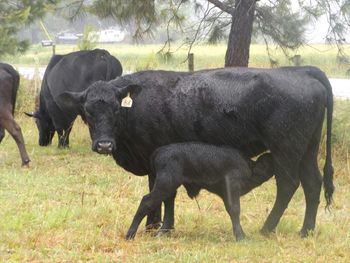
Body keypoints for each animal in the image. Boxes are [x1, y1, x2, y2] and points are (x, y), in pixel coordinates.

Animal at [126, 143, 274, 242]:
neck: (251, 169)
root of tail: (157, 152)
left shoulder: (226, 192)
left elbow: (231, 209)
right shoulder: (232, 184)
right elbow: (235, 209)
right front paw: (241, 238)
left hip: (168, 184)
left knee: (167, 203)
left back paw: (161, 233)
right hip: (166, 183)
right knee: (146, 201)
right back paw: (130, 235)